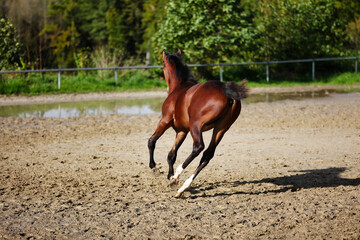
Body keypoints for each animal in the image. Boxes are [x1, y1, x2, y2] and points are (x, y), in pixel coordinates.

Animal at [147, 49, 248, 197]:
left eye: (163, 67)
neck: (178, 88)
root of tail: (226, 90)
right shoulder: (182, 131)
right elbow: (171, 154)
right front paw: (169, 176)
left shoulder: (165, 121)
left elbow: (152, 141)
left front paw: (154, 168)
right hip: (221, 128)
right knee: (208, 154)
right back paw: (182, 186)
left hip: (196, 125)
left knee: (198, 147)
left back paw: (178, 175)